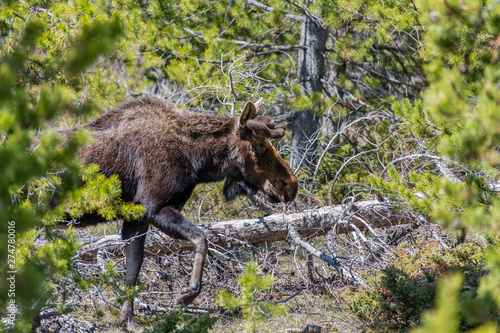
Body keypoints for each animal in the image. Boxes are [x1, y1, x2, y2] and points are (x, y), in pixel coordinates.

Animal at [71, 95, 296, 322]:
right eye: (259, 144)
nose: (291, 185)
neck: (197, 160)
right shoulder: (152, 206)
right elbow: (201, 238)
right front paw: (186, 296)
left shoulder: (136, 218)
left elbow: (133, 268)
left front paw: (127, 321)